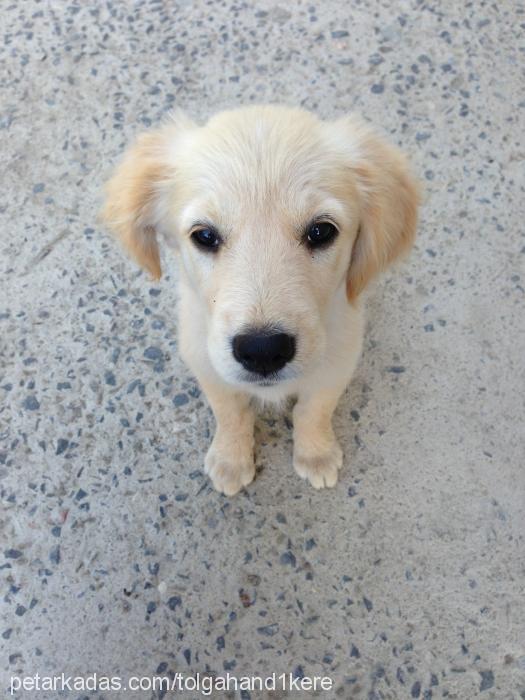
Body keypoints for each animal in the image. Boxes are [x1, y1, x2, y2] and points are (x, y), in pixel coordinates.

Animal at [102, 104, 420, 498]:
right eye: (204, 236)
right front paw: (230, 461)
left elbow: (314, 409)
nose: (263, 350)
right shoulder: (206, 359)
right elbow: (230, 411)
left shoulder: (338, 359)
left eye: (321, 231)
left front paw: (316, 455)